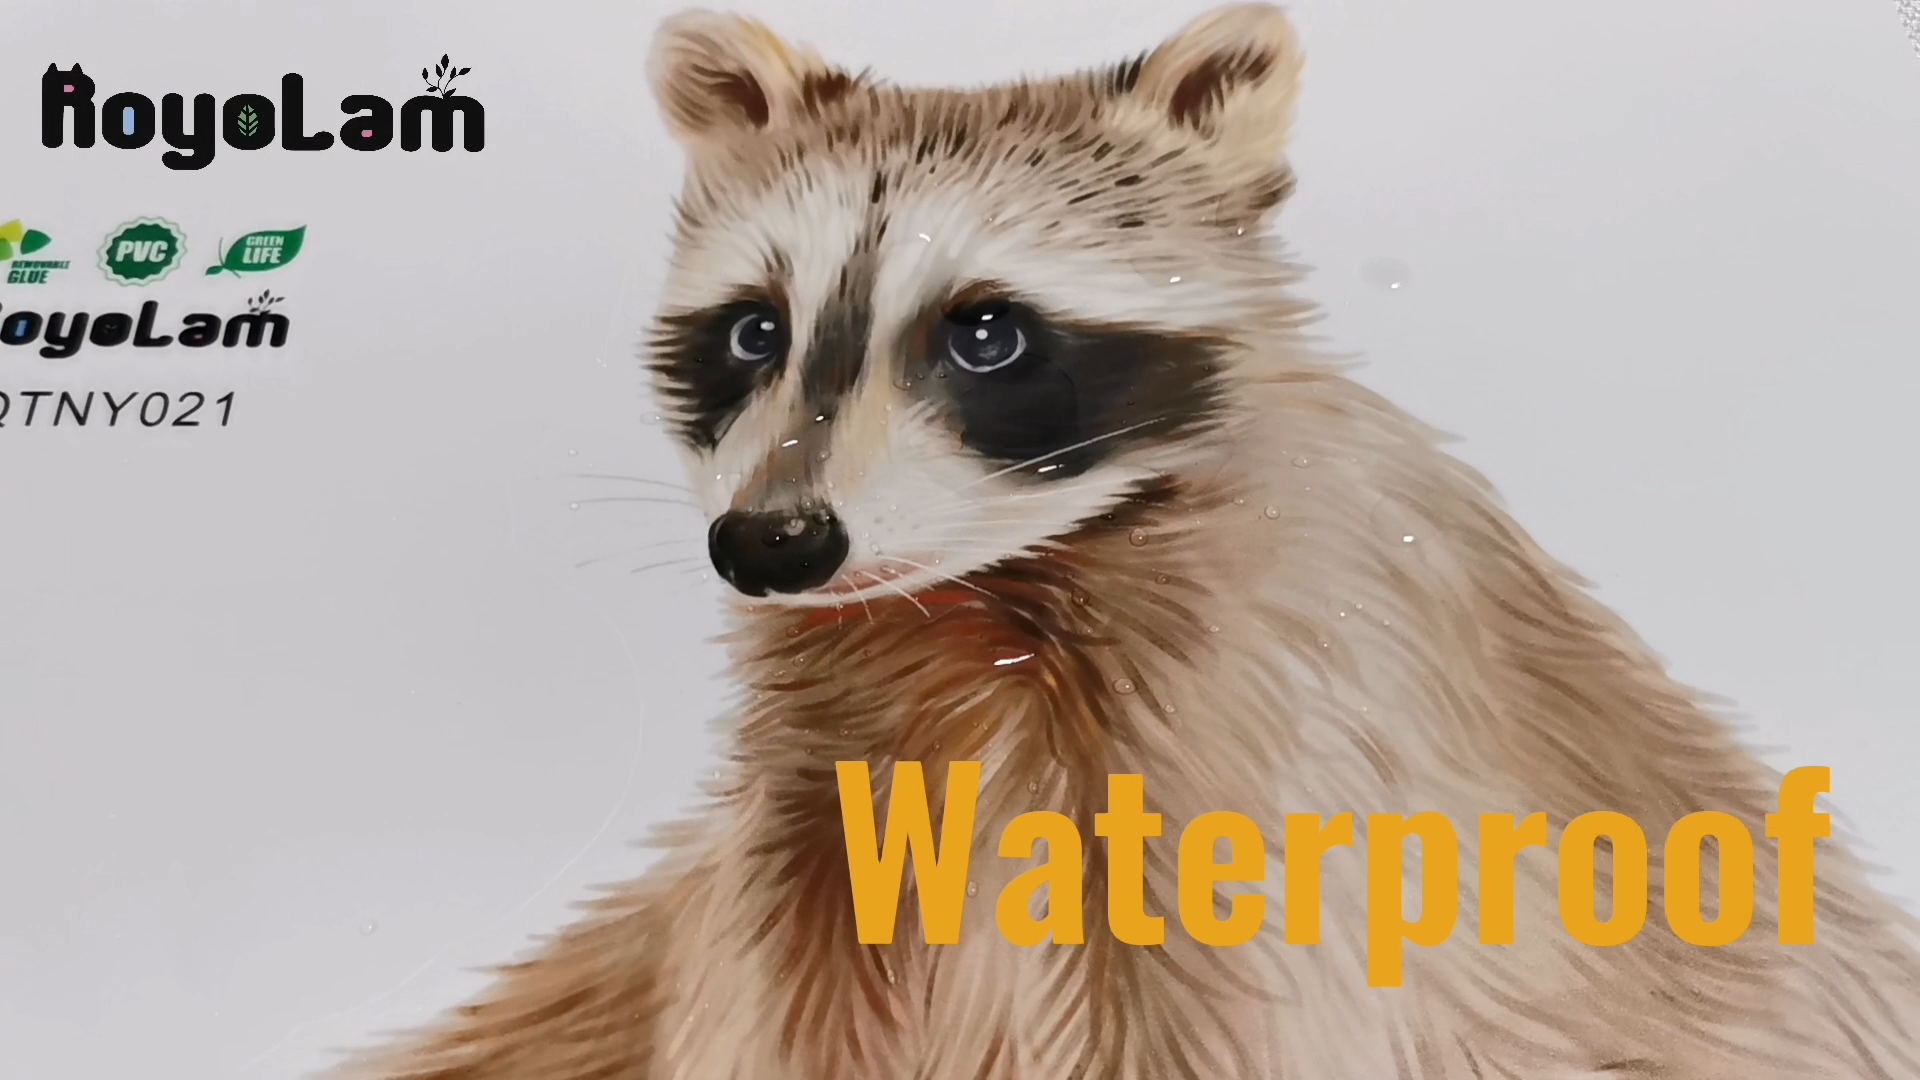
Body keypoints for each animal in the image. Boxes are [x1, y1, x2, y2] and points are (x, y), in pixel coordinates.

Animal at [340, 5, 1920, 1078]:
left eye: (986, 333)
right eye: (753, 331)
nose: (772, 544)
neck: (976, 606)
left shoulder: (1296, 764)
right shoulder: (816, 829)